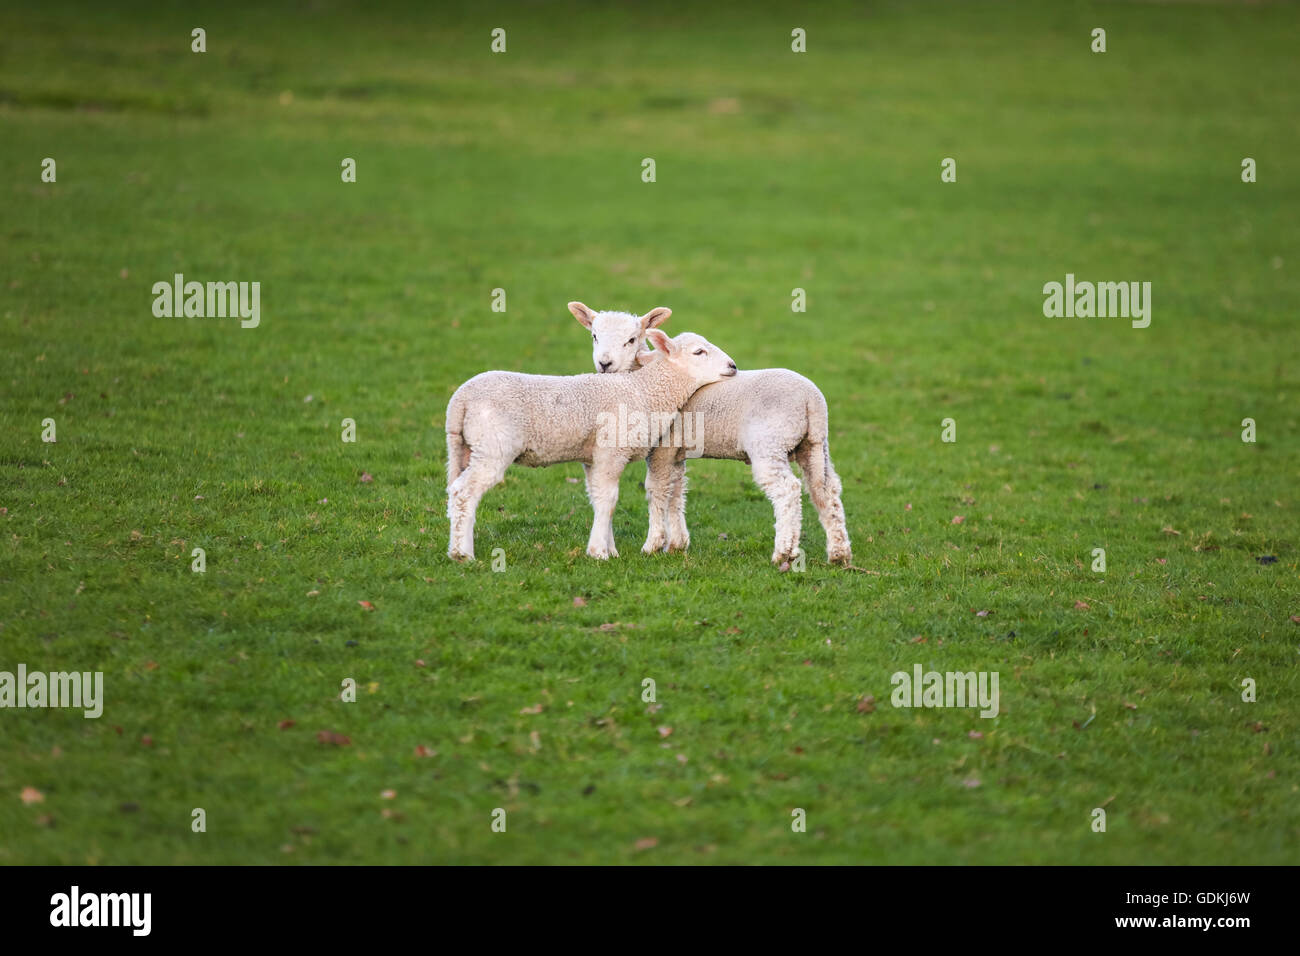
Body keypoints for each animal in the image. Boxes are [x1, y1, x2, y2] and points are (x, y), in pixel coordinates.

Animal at [445, 324, 737, 562]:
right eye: (699, 352)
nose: (733, 366)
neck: (644, 391)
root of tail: (460, 399)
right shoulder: (611, 451)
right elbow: (609, 499)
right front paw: (599, 552)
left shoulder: (592, 456)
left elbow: (598, 498)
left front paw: (610, 549)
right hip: (493, 446)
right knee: (464, 492)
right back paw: (463, 554)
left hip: (465, 446)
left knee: (454, 489)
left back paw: (455, 546)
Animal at [570, 301, 851, 567]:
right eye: (594, 336)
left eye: (631, 340)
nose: (605, 364)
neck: (644, 380)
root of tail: (811, 399)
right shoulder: (677, 451)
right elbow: (676, 492)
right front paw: (677, 544)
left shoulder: (662, 448)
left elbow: (656, 490)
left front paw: (653, 545)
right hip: (814, 445)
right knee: (826, 490)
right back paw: (839, 553)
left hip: (769, 442)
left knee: (788, 490)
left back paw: (784, 553)